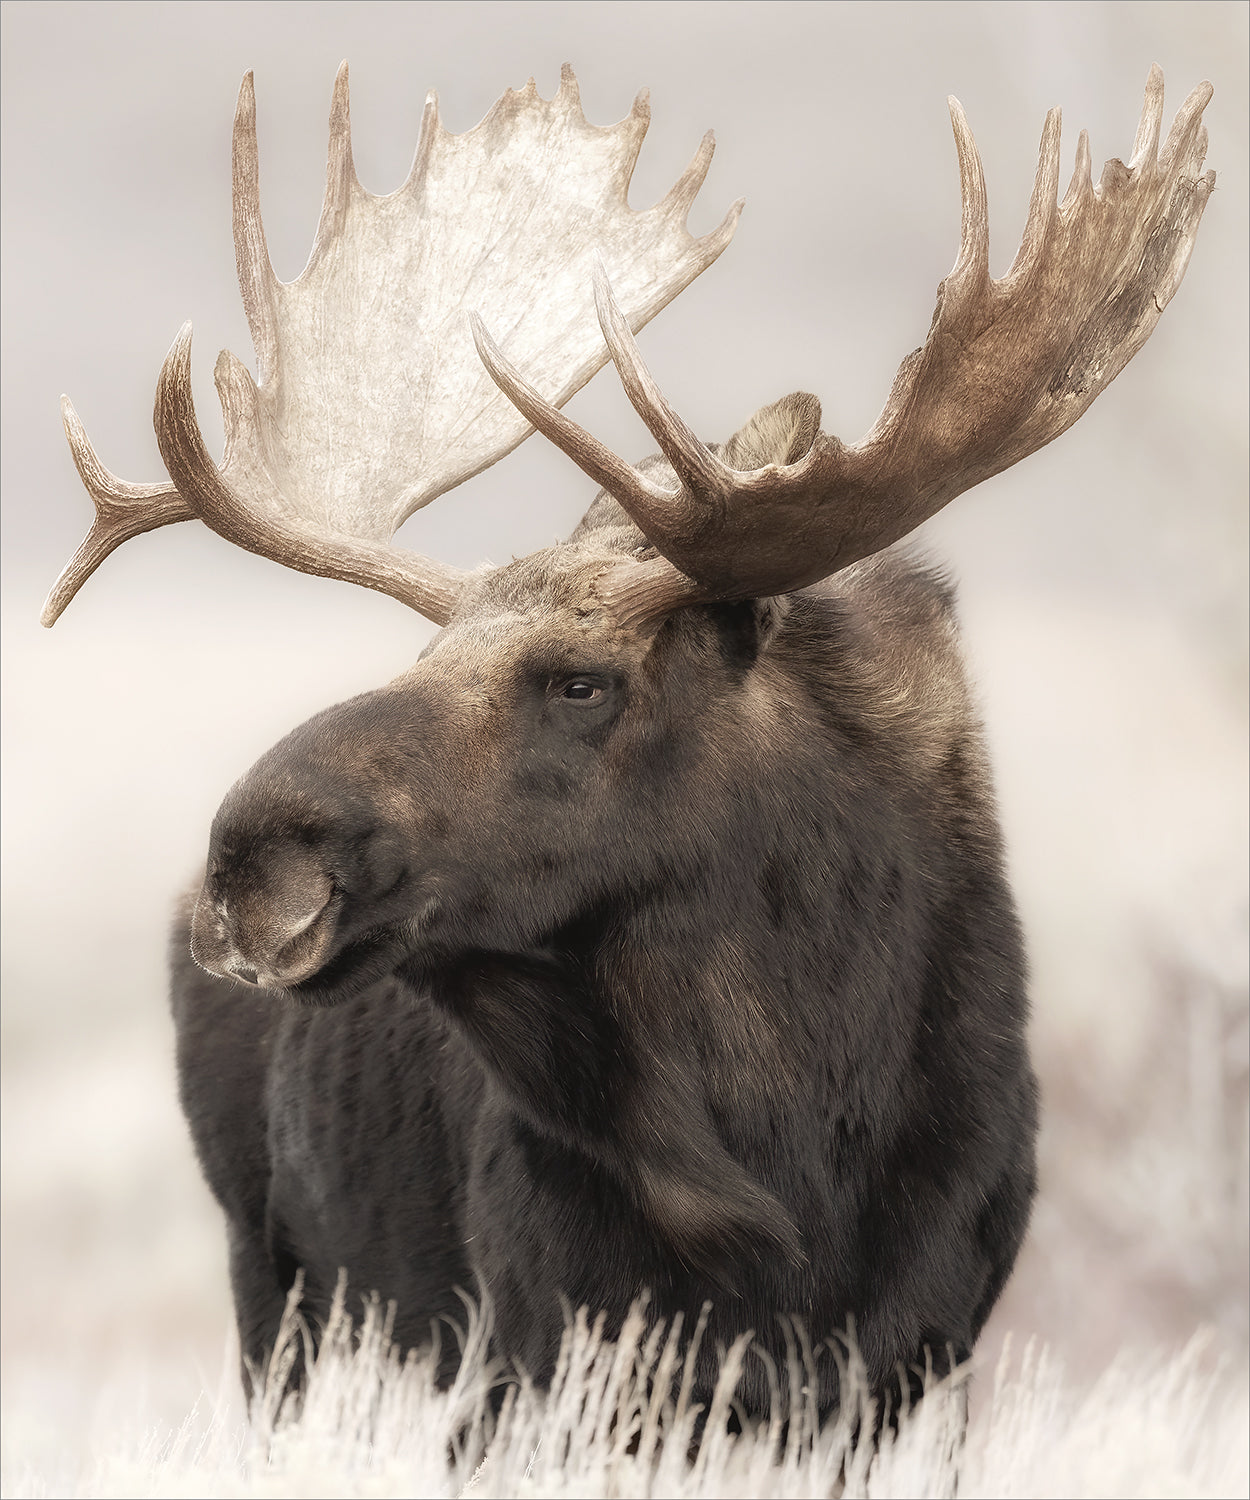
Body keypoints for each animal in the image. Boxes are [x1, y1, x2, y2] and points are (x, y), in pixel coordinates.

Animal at [43, 63, 1214, 1425]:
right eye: (417, 661)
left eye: (580, 683)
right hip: (274, 1281)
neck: (789, 1142)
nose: (250, 864)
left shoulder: (912, 1361)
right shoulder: (531, 1344)